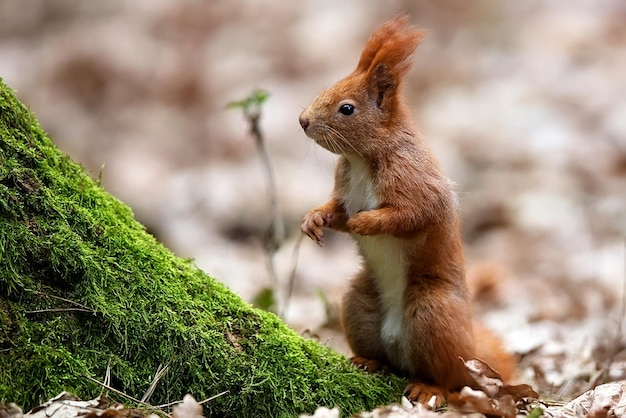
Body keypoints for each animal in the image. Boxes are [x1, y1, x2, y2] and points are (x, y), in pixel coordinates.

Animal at [300, 15, 516, 404]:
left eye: (347, 108)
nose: (302, 121)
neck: (362, 159)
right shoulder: (345, 187)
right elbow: (337, 210)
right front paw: (313, 219)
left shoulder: (414, 180)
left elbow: (413, 214)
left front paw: (367, 223)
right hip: (359, 303)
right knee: (381, 352)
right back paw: (368, 361)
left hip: (433, 312)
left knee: (447, 378)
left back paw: (428, 387)